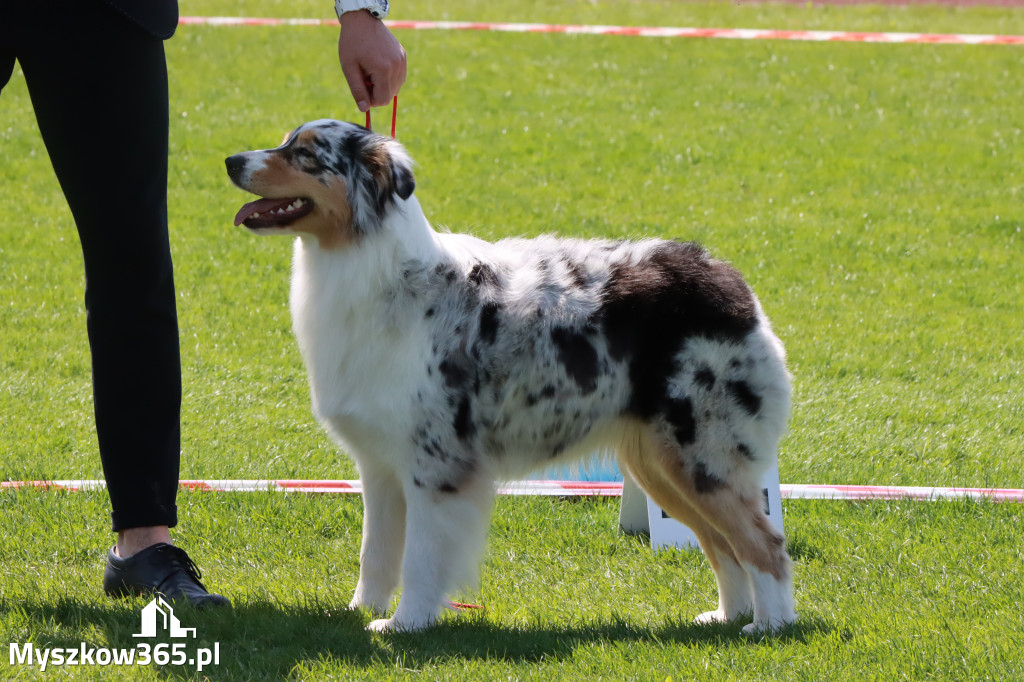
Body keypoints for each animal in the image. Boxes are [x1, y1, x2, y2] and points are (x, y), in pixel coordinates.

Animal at [226, 118, 798, 630]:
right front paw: (358, 612)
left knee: (765, 543)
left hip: (704, 455)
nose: (231, 160)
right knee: (723, 545)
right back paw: (727, 616)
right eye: (285, 141)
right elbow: (376, 554)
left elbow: (420, 559)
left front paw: (403, 625)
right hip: (659, 464)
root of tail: (728, 280)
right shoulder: (379, 464)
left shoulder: (435, 463)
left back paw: (769, 627)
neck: (378, 273)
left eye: (305, 154)